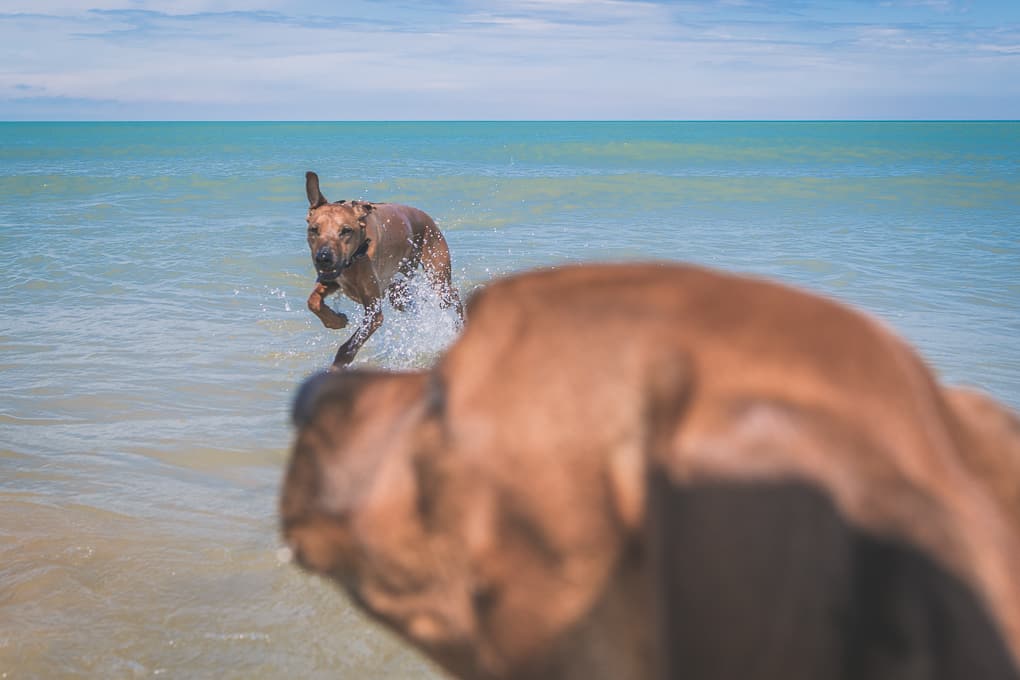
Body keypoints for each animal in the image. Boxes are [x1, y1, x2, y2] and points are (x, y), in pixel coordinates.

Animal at [301, 173, 463, 369]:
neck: (357, 254)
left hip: (437, 273)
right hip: (398, 291)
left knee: (453, 295)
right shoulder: (333, 280)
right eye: (314, 230)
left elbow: (349, 346)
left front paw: (338, 365)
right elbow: (313, 301)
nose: (323, 258)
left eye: (346, 230)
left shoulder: (373, 312)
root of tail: (426, 216)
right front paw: (335, 320)